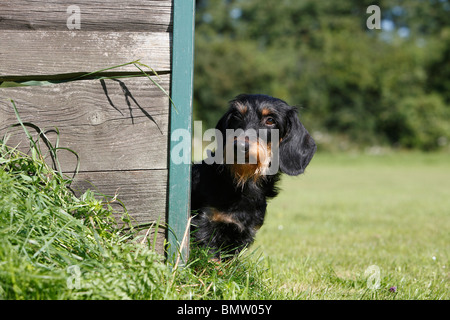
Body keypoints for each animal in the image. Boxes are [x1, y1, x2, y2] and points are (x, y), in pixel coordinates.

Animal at [190, 94, 316, 258]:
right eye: (237, 116)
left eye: (270, 120)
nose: (239, 146)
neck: (242, 183)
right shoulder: (205, 223)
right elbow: (210, 257)